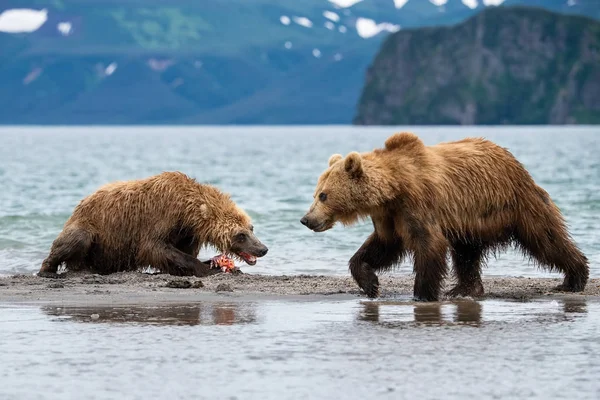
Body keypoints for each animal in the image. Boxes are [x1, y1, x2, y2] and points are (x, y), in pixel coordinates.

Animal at [38, 172, 268, 278]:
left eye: (251, 228)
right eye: (240, 235)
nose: (262, 248)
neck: (186, 213)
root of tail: (80, 204)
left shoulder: (187, 233)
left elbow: (185, 252)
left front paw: (216, 265)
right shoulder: (159, 217)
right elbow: (155, 248)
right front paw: (209, 269)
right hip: (89, 228)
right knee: (75, 240)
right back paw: (49, 270)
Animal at [300, 133, 592, 302]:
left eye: (323, 195)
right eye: (315, 193)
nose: (306, 219)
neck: (392, 190)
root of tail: (513, 160)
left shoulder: (418, 204)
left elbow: (429, 245)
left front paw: (423, 295)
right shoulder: (389, 216)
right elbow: (382, 246)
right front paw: (371, 283)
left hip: (516, 204)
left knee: (546, 239)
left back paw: (574, 278)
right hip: (471, 220)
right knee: (466, 253)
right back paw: (466, 289)